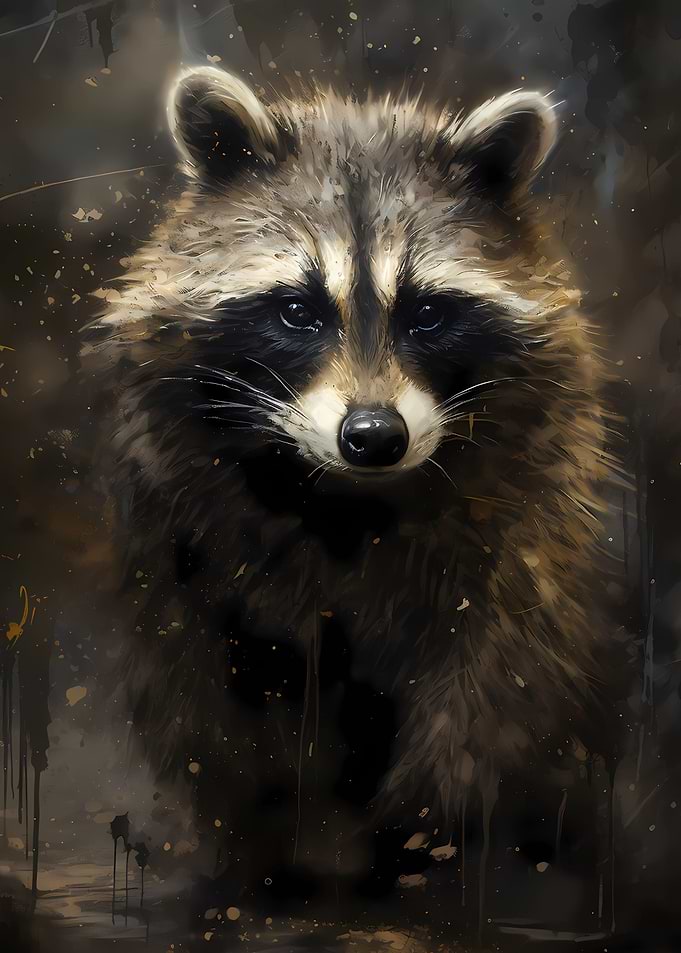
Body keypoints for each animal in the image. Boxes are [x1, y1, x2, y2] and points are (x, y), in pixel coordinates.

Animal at [85, 67, 614, 906]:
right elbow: (208, 682)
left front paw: (423, 834)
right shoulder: (179, 511)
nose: (372, 436)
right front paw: (261, 845)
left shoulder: (520, 516)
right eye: (297, 310)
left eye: (427, 313)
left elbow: (491, 676)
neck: (345, 499)